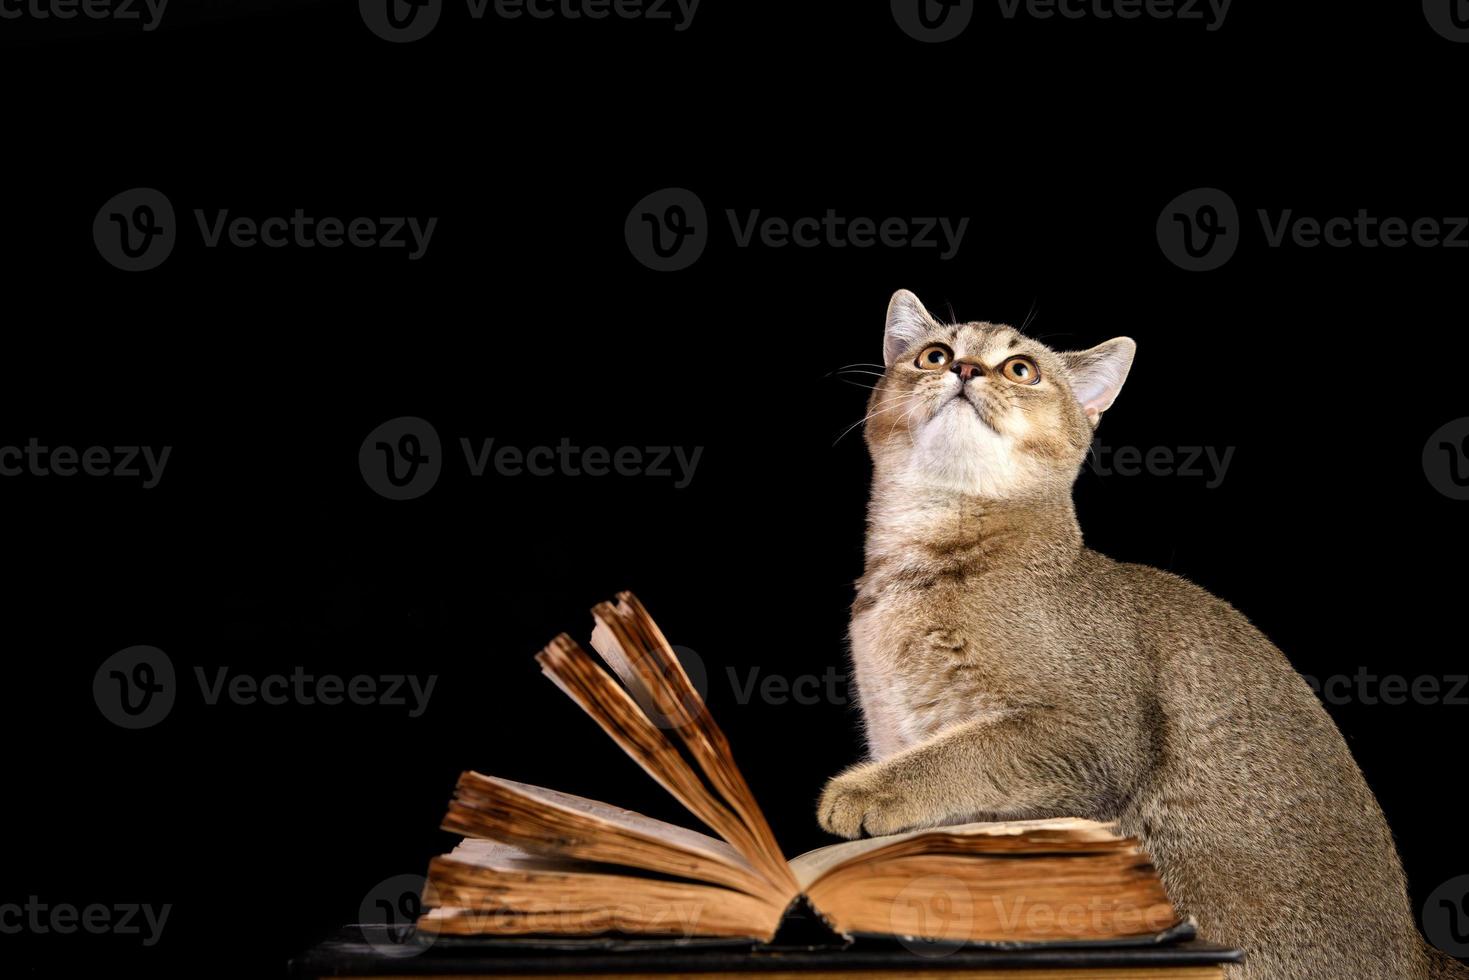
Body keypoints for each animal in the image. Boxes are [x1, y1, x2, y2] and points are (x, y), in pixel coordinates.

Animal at [822, 290, 1463, 980]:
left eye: (1021, 369)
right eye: (934, 355)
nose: (965, 369)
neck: (921, 565)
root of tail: (1417, 953)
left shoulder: (1092, 735)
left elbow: (969, 751)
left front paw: (866, 790)